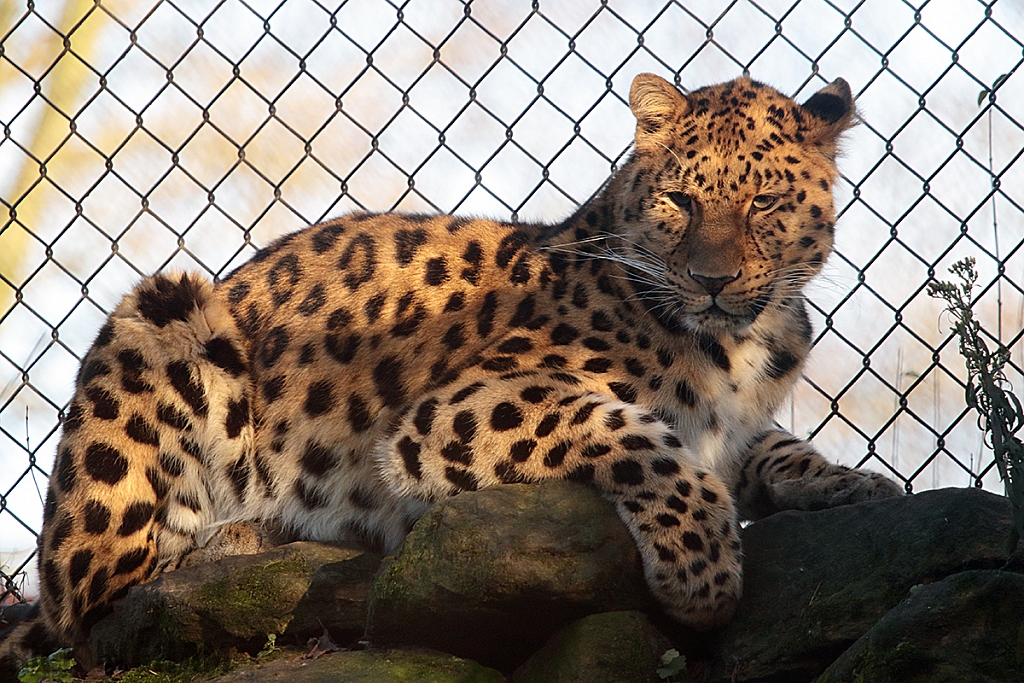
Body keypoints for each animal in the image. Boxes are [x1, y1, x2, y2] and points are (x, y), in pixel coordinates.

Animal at [0, 72, 901, 675]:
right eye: (680, 200)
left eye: (764, 203)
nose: (712, 281)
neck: (743, 341)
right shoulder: (460, 408)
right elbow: (640, 434)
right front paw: (701, 570)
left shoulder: (736, 422)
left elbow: (769, 446)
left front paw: (852, 483)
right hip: (160, 313)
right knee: (98, 598)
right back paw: (248, 535)